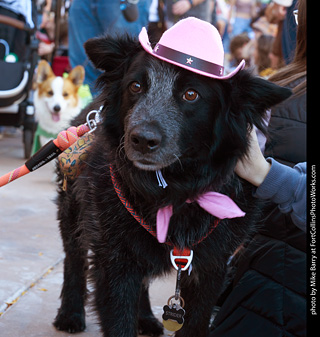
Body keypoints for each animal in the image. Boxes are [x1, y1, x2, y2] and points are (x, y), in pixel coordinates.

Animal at [53, 32, 292, 336]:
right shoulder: (114, 262)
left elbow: (195, 322)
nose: (142, 140)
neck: (174, 191)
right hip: (73, 214)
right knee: (74, 259)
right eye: (135, 86)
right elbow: (119, 320)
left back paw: (145, 318)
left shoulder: (211, 268)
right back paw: (70, 314)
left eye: (191, 94)